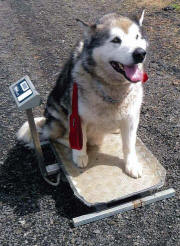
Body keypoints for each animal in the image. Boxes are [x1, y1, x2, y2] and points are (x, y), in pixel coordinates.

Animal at [17, 11, 148, 179]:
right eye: (116, 40)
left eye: (137, 37)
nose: (140, 53)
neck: (111, 87)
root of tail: (45, 122)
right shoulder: (77, 116)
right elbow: (81, 139)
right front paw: (80, 156)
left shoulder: (131, 117)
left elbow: (129, 145)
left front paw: (132, 164)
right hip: (57, 116)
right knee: (56, 137)